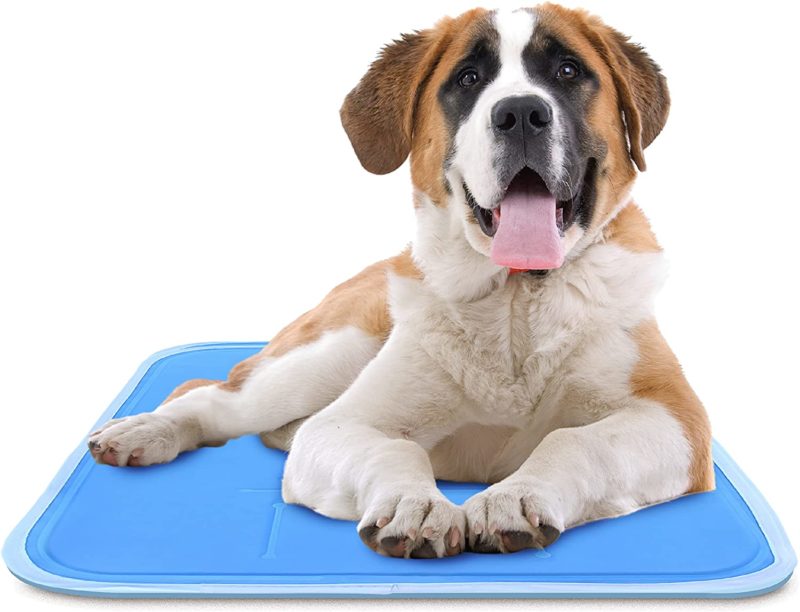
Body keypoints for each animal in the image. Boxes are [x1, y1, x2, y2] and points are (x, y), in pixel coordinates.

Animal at [86, 3, 712, 560]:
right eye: (468, 78)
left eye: (566, 71)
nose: (521, 114)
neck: (515, 300)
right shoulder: (341, 424)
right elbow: (393, 453)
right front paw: (414, 506)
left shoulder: (678, 422)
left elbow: (573, 440)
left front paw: (515, 496)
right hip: (327, 354)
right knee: (212, 395)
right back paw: (143, 431)